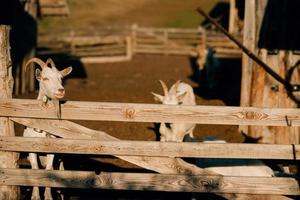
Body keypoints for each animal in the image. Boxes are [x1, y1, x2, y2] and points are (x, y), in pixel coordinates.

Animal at [23, 57, 72, 200]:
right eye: (45, 78)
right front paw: (35, 196)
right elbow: (35, 170)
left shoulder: (52, 150)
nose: (61, 90)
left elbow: (49, 169)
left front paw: (48, 195)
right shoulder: (31, 149)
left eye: (61, 78)